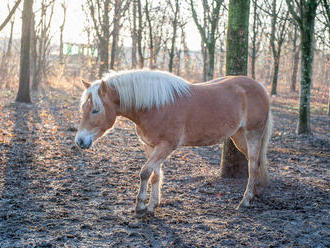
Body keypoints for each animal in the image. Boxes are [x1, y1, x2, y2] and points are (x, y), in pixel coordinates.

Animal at [75, 70, 274, 215]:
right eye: (83, 108)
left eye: (95, 110)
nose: (80, 141)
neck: (154, 106)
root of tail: (260, 87)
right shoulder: (150, 146)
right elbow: (154, 174)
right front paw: (152, 204)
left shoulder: (166, 146)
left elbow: (145, 172)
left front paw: (141, 205)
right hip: (239, 136)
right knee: (255, 163)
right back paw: (254, 192)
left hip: (253, 134)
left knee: (253, 164)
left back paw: (245, 200)